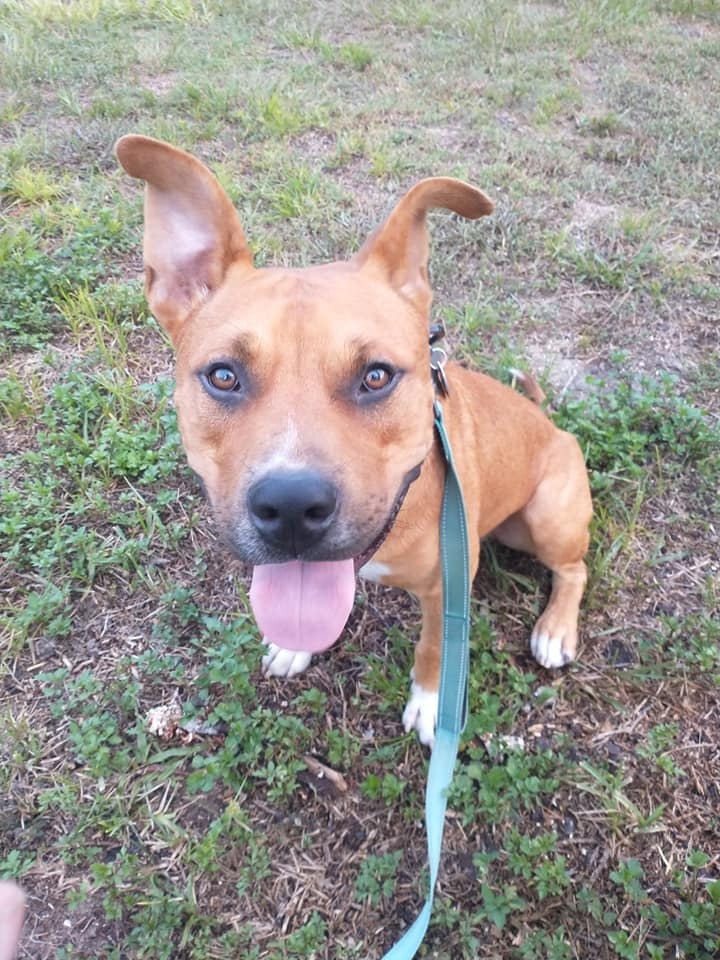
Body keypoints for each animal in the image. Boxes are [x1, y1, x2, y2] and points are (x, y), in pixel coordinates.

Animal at [116, 135, 592, 748]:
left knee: (574, 569)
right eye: (223, 376)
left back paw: (555, 629)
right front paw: (294, 646)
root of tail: (551, 422)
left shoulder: (447, 589)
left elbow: (436, 647)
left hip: (547, 517)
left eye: (377, 376)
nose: (291, 508)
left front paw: (430, 703)